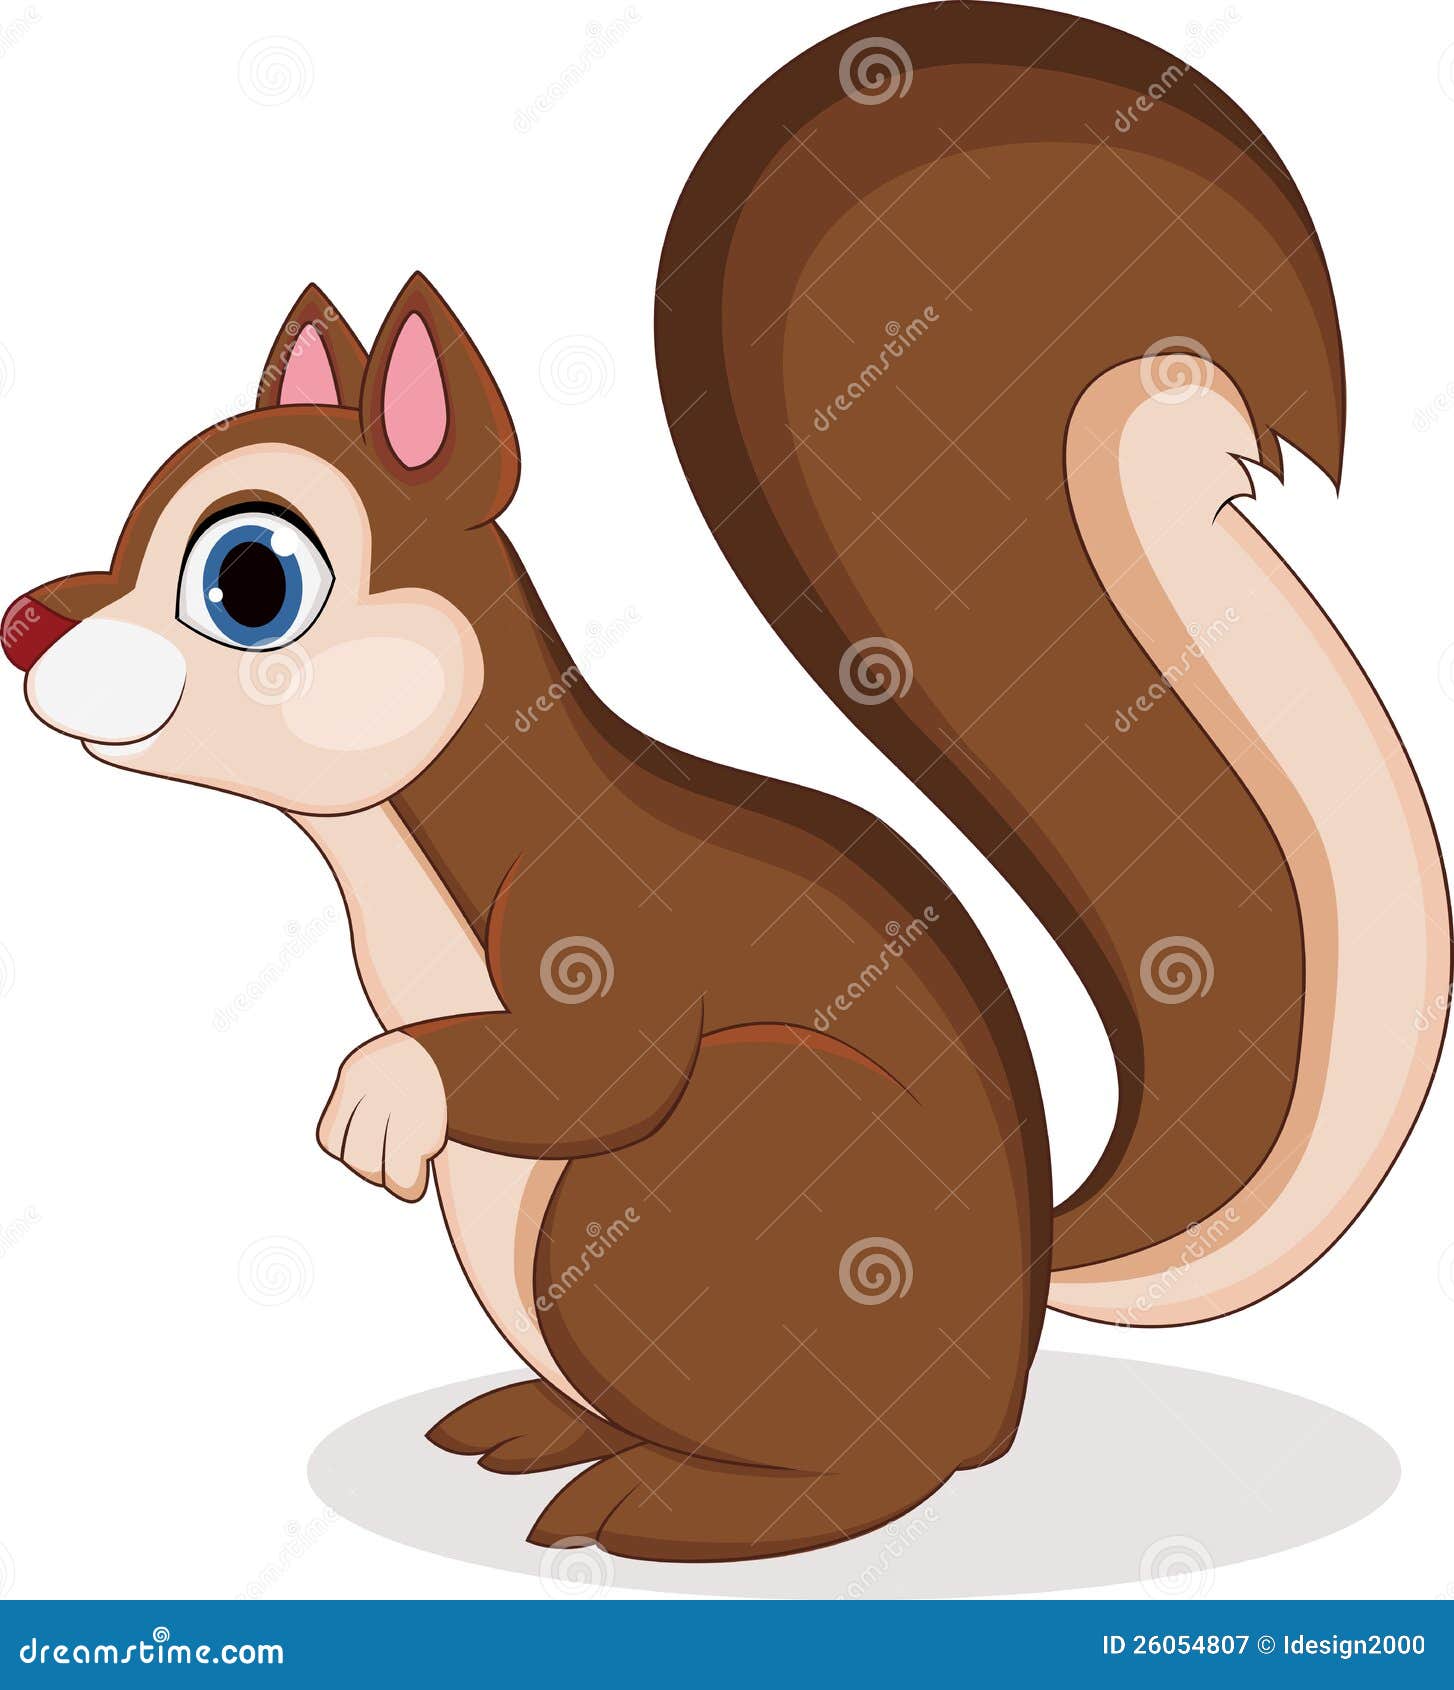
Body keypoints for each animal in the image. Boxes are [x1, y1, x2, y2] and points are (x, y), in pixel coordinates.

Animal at [4, 1, 1448, 1564]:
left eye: (251, 578)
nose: (23, 624)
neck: (410, 831)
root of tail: (1003, 1364)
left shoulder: (597, 917)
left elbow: (604, 1060)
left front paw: (386, 1094)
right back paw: (547, 1427)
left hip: (699, 1198)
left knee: (875, 1467)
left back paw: (675, 1501)